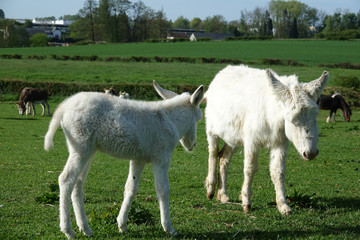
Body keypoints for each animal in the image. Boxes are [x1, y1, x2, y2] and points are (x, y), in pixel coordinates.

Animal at [43, 81, 204, 239]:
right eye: (198, 119)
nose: (193, 145)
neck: (170, 120)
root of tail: (64, 106)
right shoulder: (161, 157)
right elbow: (163, 190)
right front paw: (169, 228)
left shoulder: (139, 159)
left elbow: (131, 188)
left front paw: (122, 225)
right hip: (81, 147)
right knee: (66, 179)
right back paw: (68, 231)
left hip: (87, 150)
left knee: (78, 183)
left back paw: (85, 229)